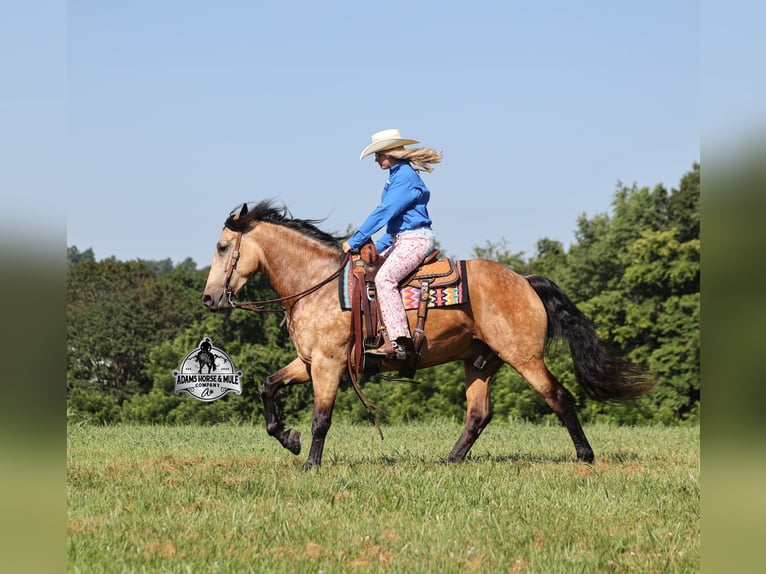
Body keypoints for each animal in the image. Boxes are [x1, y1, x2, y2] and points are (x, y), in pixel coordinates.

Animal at [202, 200, 654, 469]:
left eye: (223, 247)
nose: (209, 298)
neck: (319, 285)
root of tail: (525, 280)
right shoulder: (308, 361)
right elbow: (267, 387)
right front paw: (288, 439)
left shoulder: (328, 366)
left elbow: (321, 418)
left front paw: (310, 462)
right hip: (480, 362)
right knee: (478, 414)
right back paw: (450, 460)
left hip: (524, 357)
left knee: (558, 397)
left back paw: (585, 455)